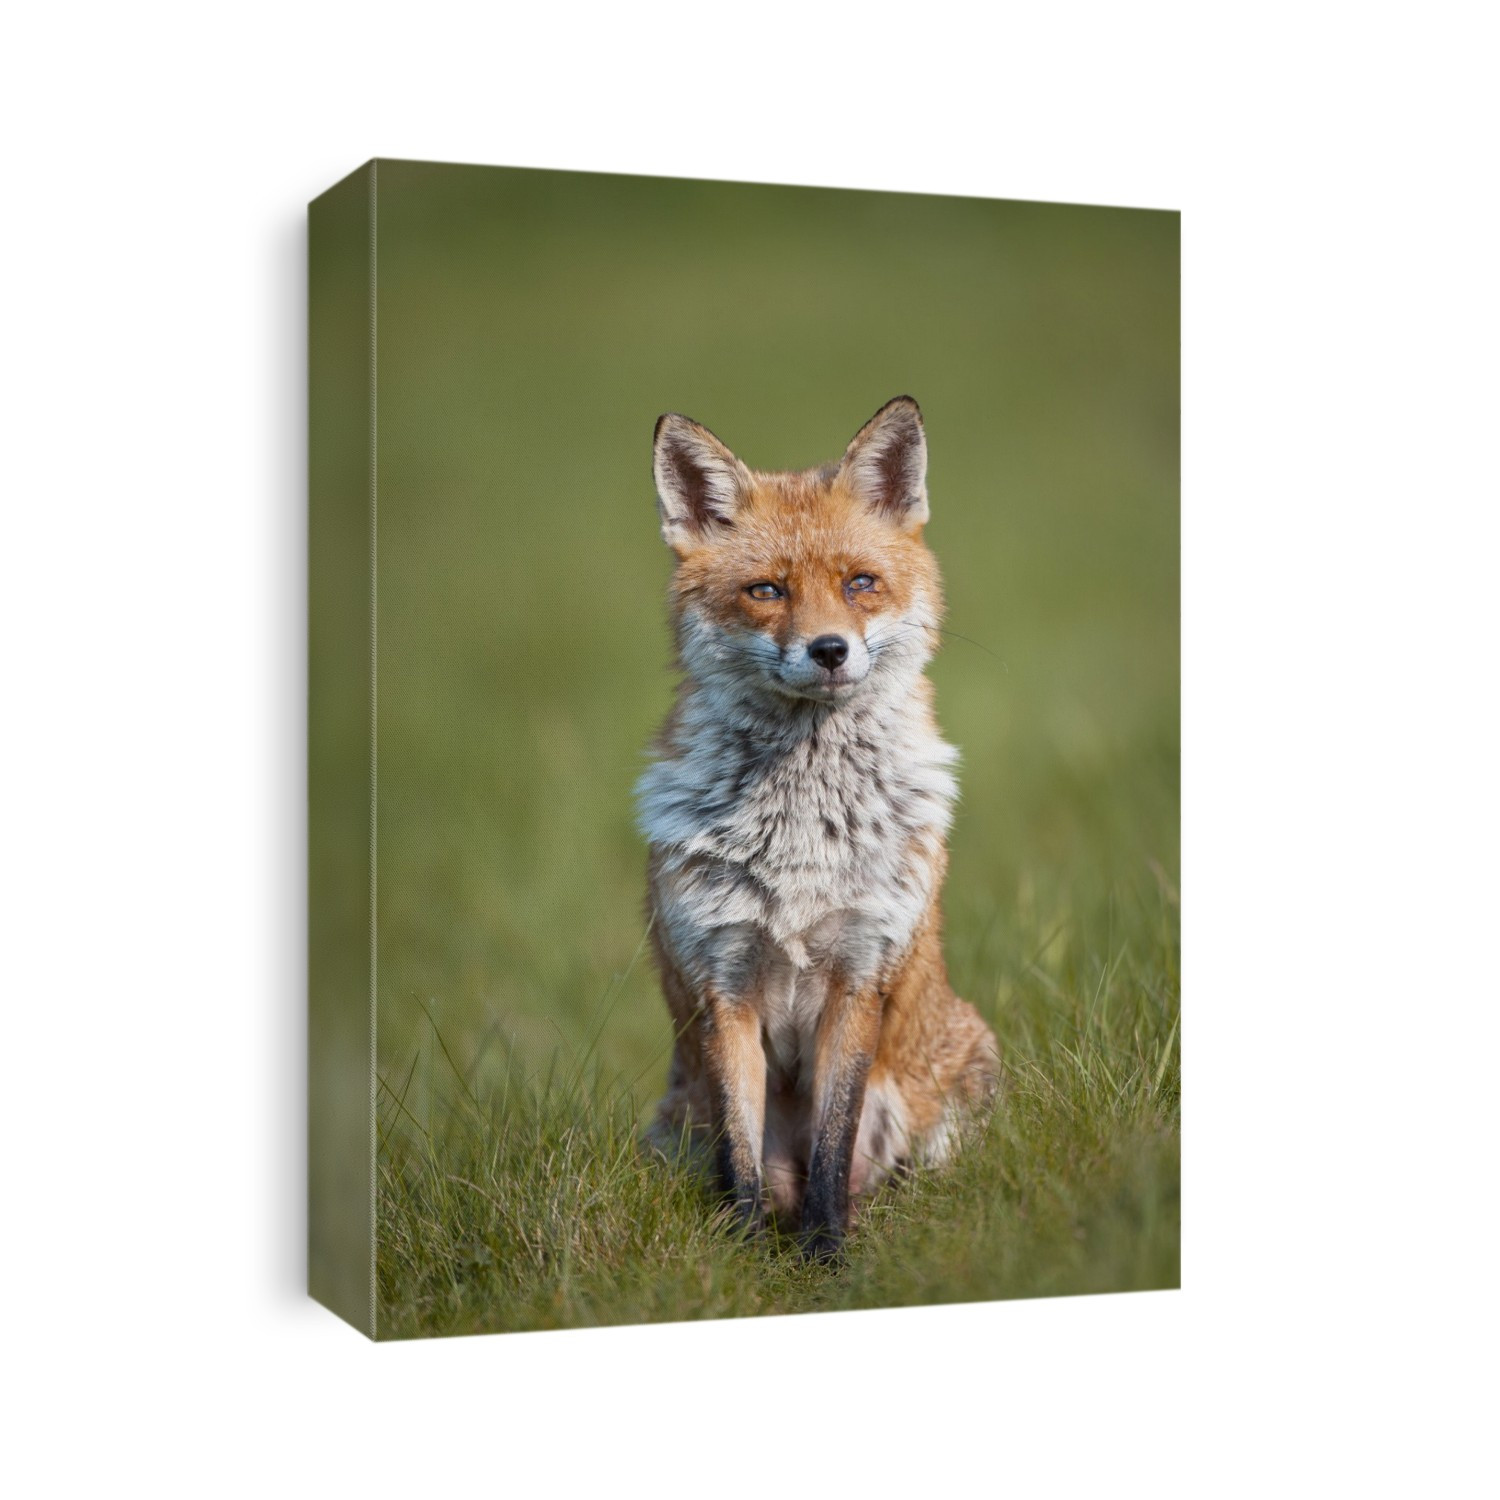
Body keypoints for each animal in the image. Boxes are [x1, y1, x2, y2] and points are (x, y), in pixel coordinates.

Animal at [637, 395, 999, 1260]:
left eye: (859, 583)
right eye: (767, 590)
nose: (829, 650)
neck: (803, 829)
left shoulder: (859, 974)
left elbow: (833, 1156)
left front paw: (828, 1259)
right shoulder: (722, 985)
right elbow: (739, 1161)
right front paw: (740, 1262)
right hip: (672, 1128)